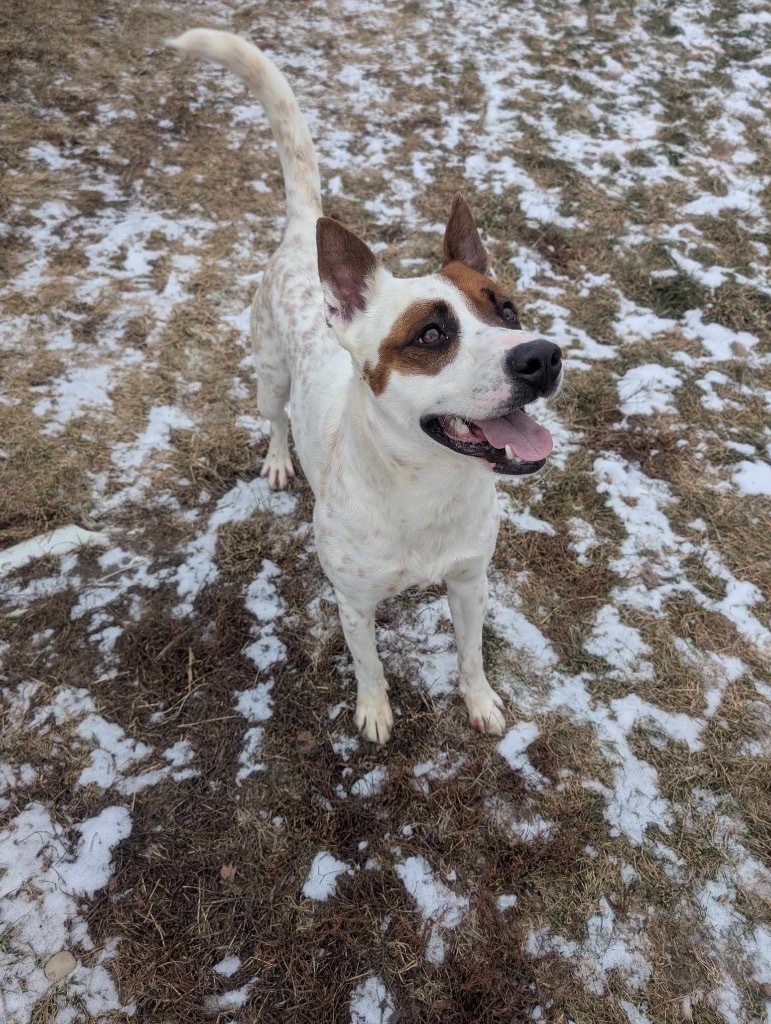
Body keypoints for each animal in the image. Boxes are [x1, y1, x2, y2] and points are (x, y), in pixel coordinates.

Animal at [167, 29, 561, 745]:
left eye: (508, 309)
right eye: (431, 335)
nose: (542, 358)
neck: (425, 489)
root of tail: (306, 231)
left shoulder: (471, 582)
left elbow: (471, 654)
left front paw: (481, 701)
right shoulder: (352, 602)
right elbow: (369, 664)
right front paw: (374, 712)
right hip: (269, 372)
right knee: (274, 417)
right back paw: (278, 459)